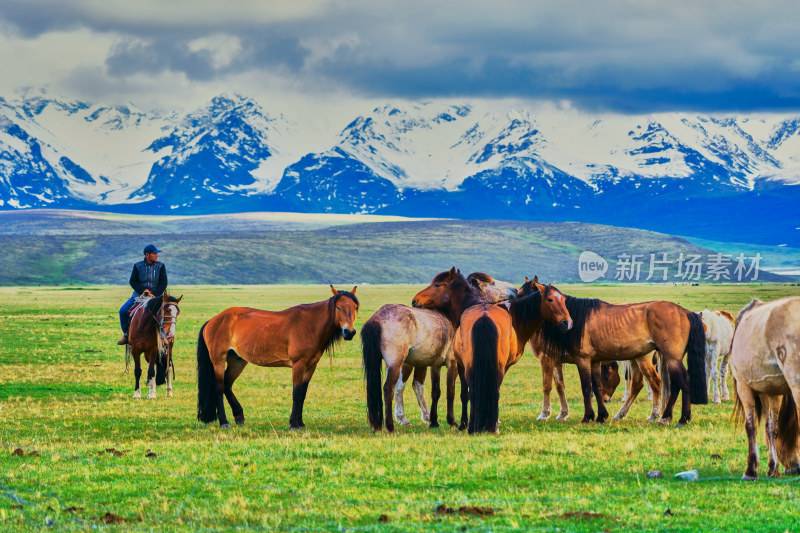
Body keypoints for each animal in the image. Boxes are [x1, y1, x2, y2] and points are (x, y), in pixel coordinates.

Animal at [197, 286, 360, 428]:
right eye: (338, 307)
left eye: (355, 307)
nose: (349, 332)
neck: (310, 325)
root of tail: (213, 320)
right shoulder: (298, 365)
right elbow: (296, 393)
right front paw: (294, 424)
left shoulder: (311, 366)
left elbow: (303, 394)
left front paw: (301, 423)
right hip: (218, 360)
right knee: (219, 387)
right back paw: (224, 422)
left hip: (237, 361)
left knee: (227, 383)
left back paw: (239, 416)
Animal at [410, 268, 572, 434]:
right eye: (551, 299)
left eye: (436, 285)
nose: (567, 322)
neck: (516, 318)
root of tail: (484, 316)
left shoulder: (461, 365)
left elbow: (464, 394)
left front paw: (463, 423)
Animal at [536, 290, 708, 424]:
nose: (567, 323)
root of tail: (685, 312)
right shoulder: (589, 361)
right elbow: (588, 386)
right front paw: (599, 416)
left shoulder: (570, 359)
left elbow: (573, 386)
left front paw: (582, 416)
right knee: (669, 384)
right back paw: (663, 416)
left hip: (663, 358)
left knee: (677, 381)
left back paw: (680, 418)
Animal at [732, 298, 800, 480]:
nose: (795, 467)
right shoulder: (772, 392)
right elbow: (771, 428)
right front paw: (772, 468)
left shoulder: (743, 387)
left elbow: (751, 427)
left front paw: (750, 470)